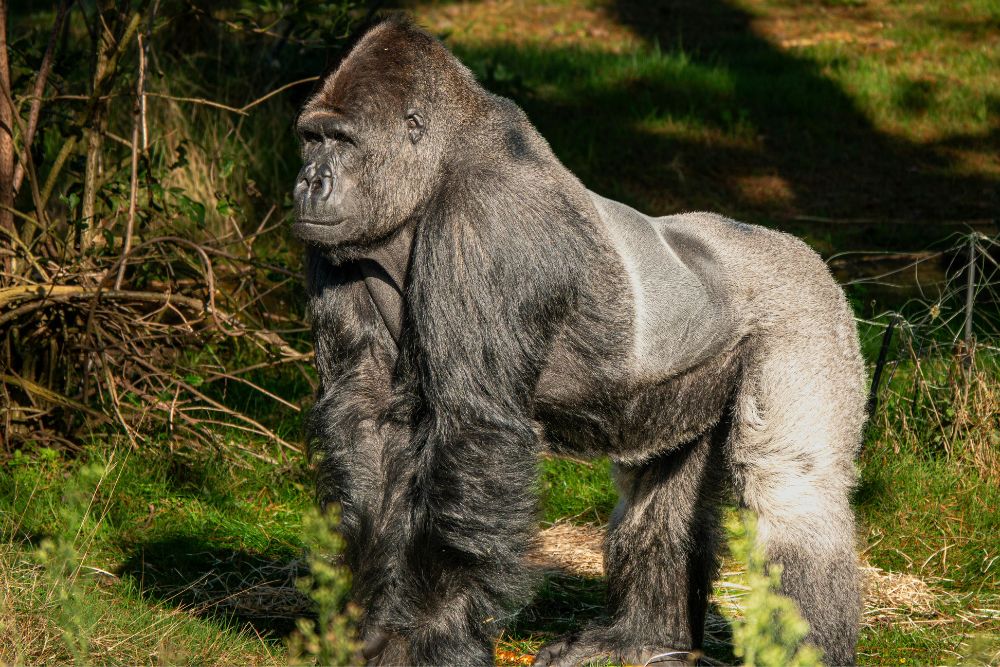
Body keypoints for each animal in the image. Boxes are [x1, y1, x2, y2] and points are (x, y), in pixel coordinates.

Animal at [293, 16, 866, 667]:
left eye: (340, 140)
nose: (309, 181)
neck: (436, 172)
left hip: (806, 312)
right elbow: (367, 423)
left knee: (793, 491)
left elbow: (473, 432)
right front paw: (368, 618)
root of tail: (806, 252)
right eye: (310, 139)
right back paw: (645, 637)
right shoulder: (338, 250)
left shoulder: (487, 225)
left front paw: (433, 633)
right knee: (656, 491)